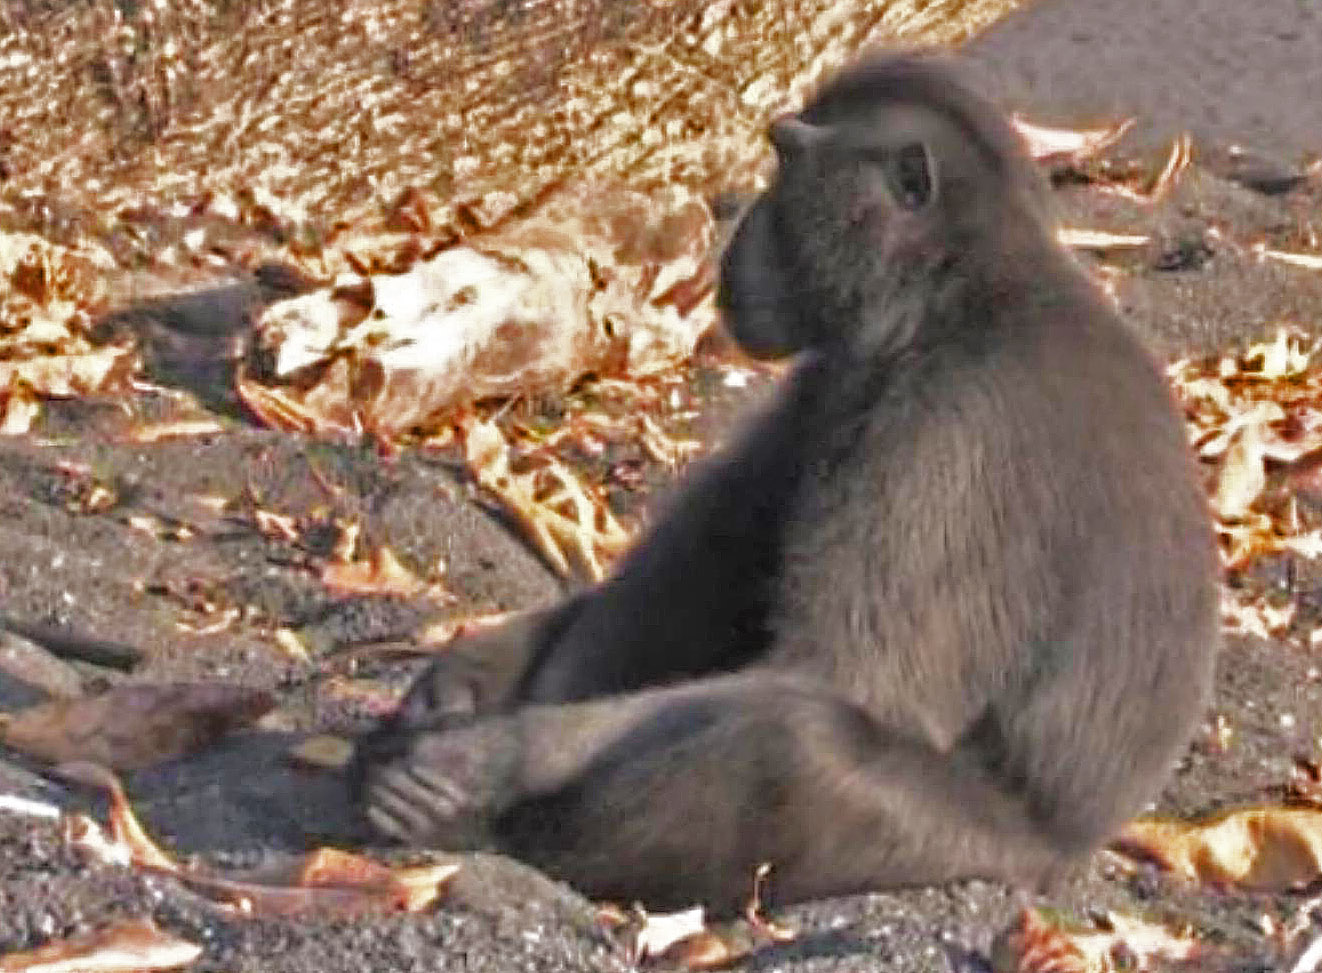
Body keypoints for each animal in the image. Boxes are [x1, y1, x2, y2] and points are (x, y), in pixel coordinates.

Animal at [353, 51, 1219, 914]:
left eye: (786, 159)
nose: (736, 233)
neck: (955, 291)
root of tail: (1067, 861)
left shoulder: (951, 425)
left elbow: (835, 679)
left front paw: (495, 757)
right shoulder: (830, 382)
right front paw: (471, 675)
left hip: (969, 850)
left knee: (793, 741)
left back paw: (496, 829)